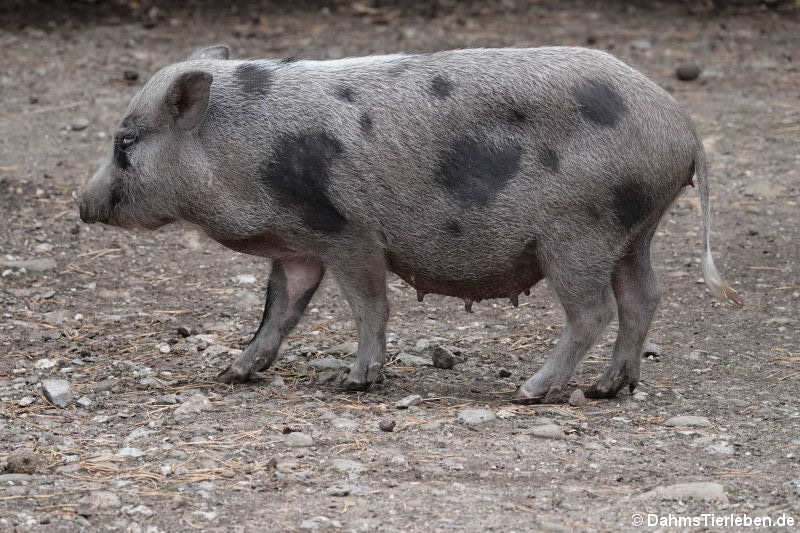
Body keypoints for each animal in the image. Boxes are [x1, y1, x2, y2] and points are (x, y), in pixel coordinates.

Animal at [78, 45, 740, 404]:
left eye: (125, 142)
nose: (81, 203)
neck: (239, 148)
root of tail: (683, 126)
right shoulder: (299, 246)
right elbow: (279, 309)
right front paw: (232, 373)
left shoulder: (349, 233)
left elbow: (369, 305)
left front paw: (354, 383)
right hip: (633, 229)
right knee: (643, 296)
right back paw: (609, 388)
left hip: (580, 229)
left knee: (594, 310)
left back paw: (528, 391)